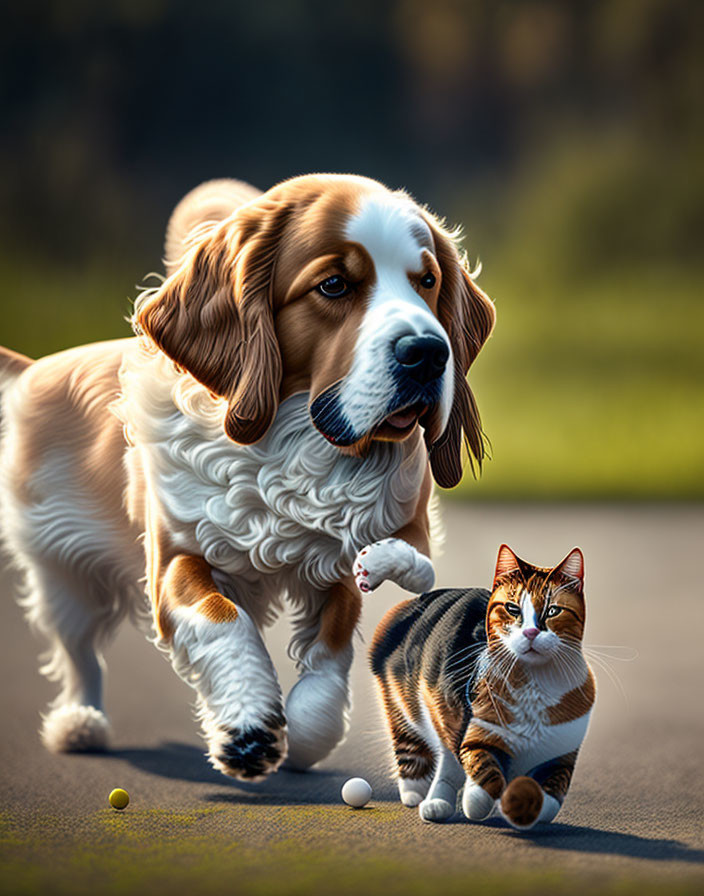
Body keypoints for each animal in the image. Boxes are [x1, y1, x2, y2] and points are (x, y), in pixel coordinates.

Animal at [0, 173, 496, 776]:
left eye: (427, 281)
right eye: (334, 285)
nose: (427, 352)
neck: (293, 447)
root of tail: (36, 367)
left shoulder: (342, 559)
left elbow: (331, 652)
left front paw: (306, 732)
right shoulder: (176, 557)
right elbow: (223, 619)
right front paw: (249, 725)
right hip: (62, 576)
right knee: (79, 655)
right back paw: (80, 722)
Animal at [372, 544, 596, 828]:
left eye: (553, 611)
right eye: (513, 609)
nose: (531, 633)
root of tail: (421, 598)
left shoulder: (562, 754)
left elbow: (553, 791)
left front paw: (530, 807)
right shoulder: (473, 730)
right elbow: (482, 768)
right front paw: (476, 801)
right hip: (403, 704)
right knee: (419, 749)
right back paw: (421, 796)